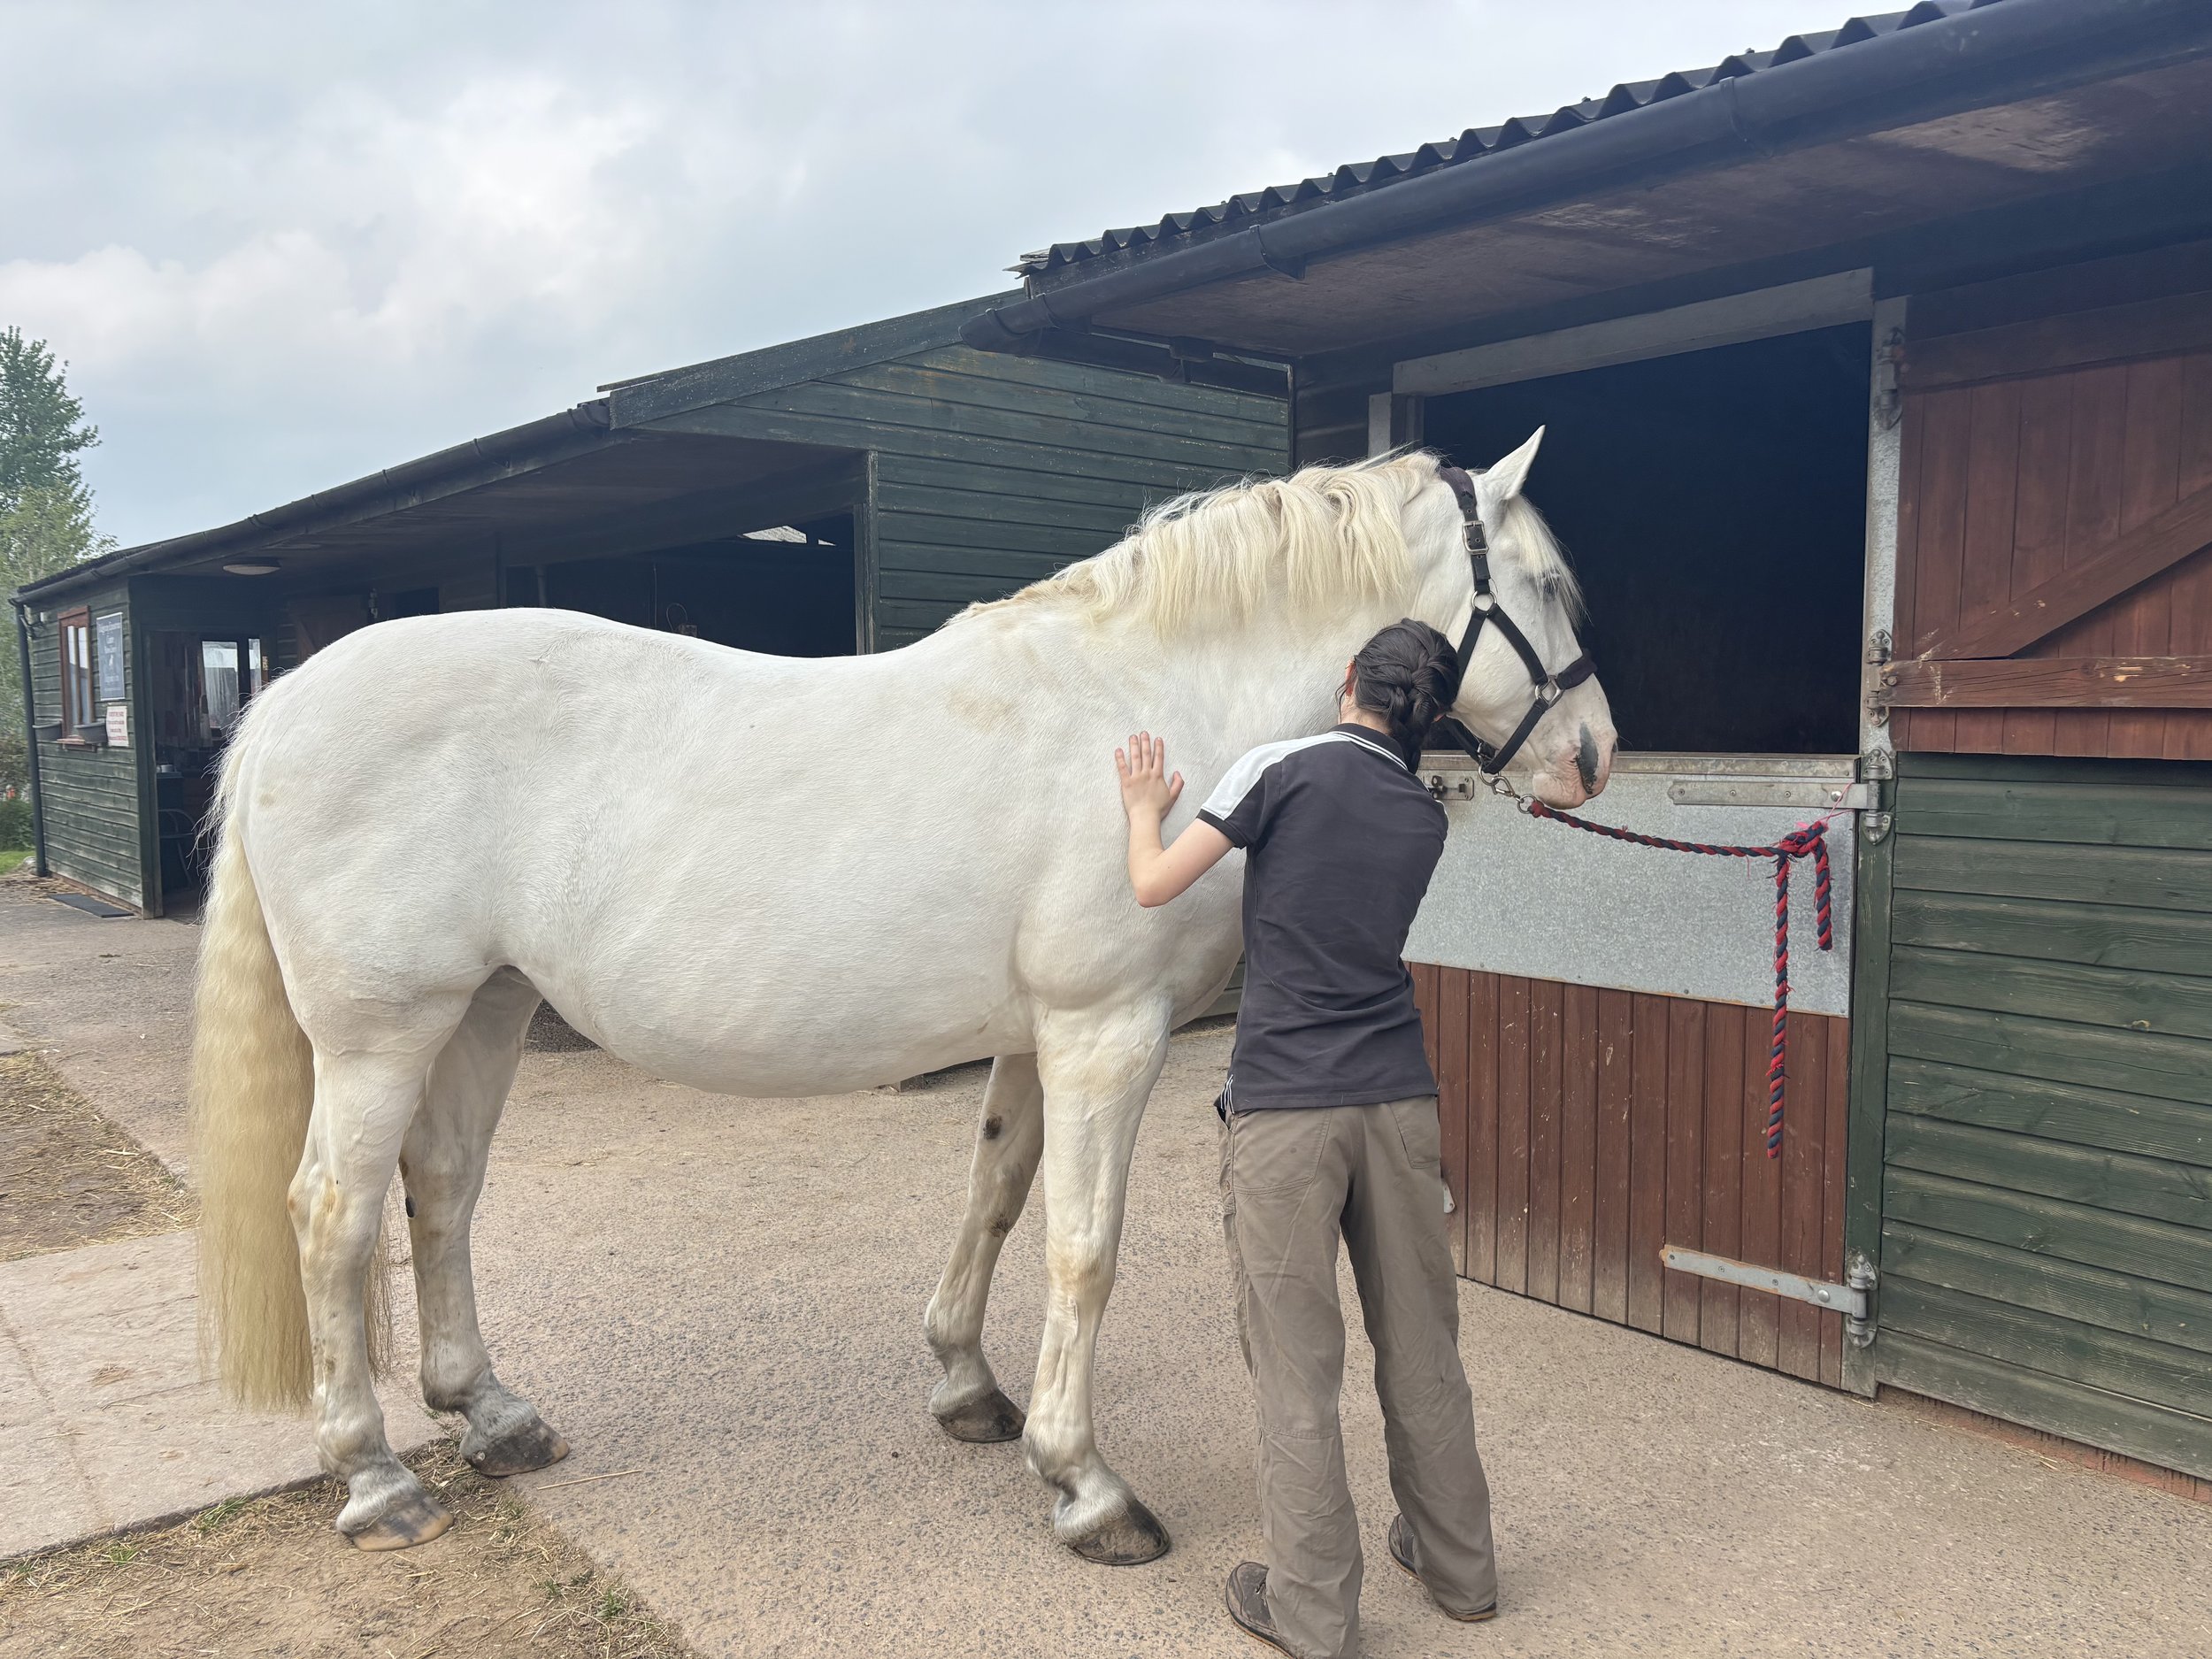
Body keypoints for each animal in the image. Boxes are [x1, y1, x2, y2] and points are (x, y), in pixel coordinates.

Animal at [188, 434, 1614, 1561]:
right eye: (1548, 584)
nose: (1594, 753)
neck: (1145, 709)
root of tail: (284, 701)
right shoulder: (1107, 1031)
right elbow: (1084, 1245)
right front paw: (1086, 1485)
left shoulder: (1038, 1038)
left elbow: (995, 1194)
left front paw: (969, 1388)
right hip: (381, 1034)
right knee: (334, 1214)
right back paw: (376, 1479)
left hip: (482, 1011)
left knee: (441, 1189)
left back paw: (490, 1414)